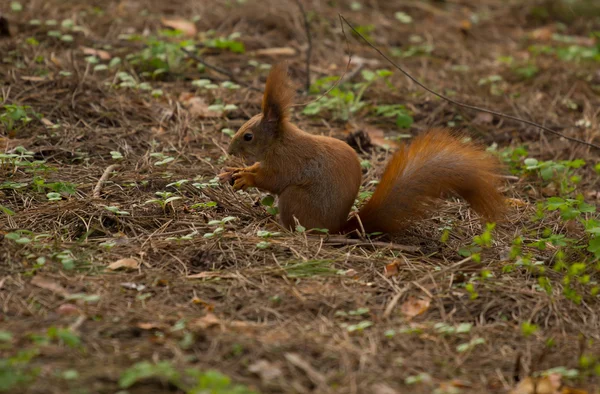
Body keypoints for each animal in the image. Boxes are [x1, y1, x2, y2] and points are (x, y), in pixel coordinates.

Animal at [218, 63, 504, 234]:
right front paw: (234, 171)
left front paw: (246, 178)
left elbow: (272, 180)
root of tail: (338, 227)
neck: (278, 143)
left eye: (248, 136)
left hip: (294, 200)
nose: (229, 150)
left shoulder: (286, 163)